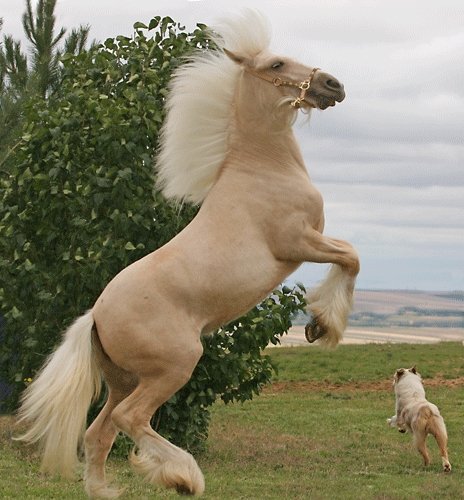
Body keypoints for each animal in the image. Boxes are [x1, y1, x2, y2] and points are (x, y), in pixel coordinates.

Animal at [17, 9, 358, 498]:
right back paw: (183, 476)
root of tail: (96, 317)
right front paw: (323, 324)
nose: (334, 84)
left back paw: (106, 490)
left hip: (124, 380)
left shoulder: (309, 241)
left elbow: (349, 254)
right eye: (276, 64)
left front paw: (315, 326)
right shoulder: (298, 241)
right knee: (129, 420)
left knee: (98, 433)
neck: (263, 169)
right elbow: (350, 256)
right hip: (172, 367)